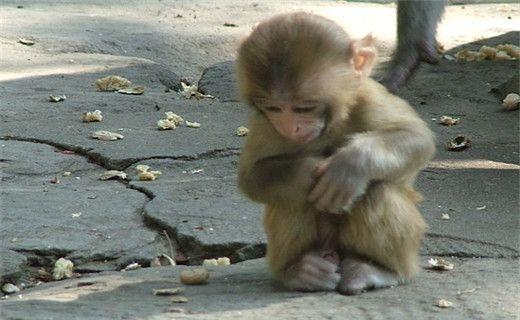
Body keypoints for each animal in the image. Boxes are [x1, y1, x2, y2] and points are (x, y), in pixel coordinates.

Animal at [236, 13, 434, 296]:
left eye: (304, 108)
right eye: (274, 108)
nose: (291, 128)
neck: (331, 125)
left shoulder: (368, 97)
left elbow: (416, 136)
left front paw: (348, 167)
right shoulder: (266, 124)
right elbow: (252, 176)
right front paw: (310, 173)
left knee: (377, 190)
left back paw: (380, 270)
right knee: (292, 196)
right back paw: (299, 271)